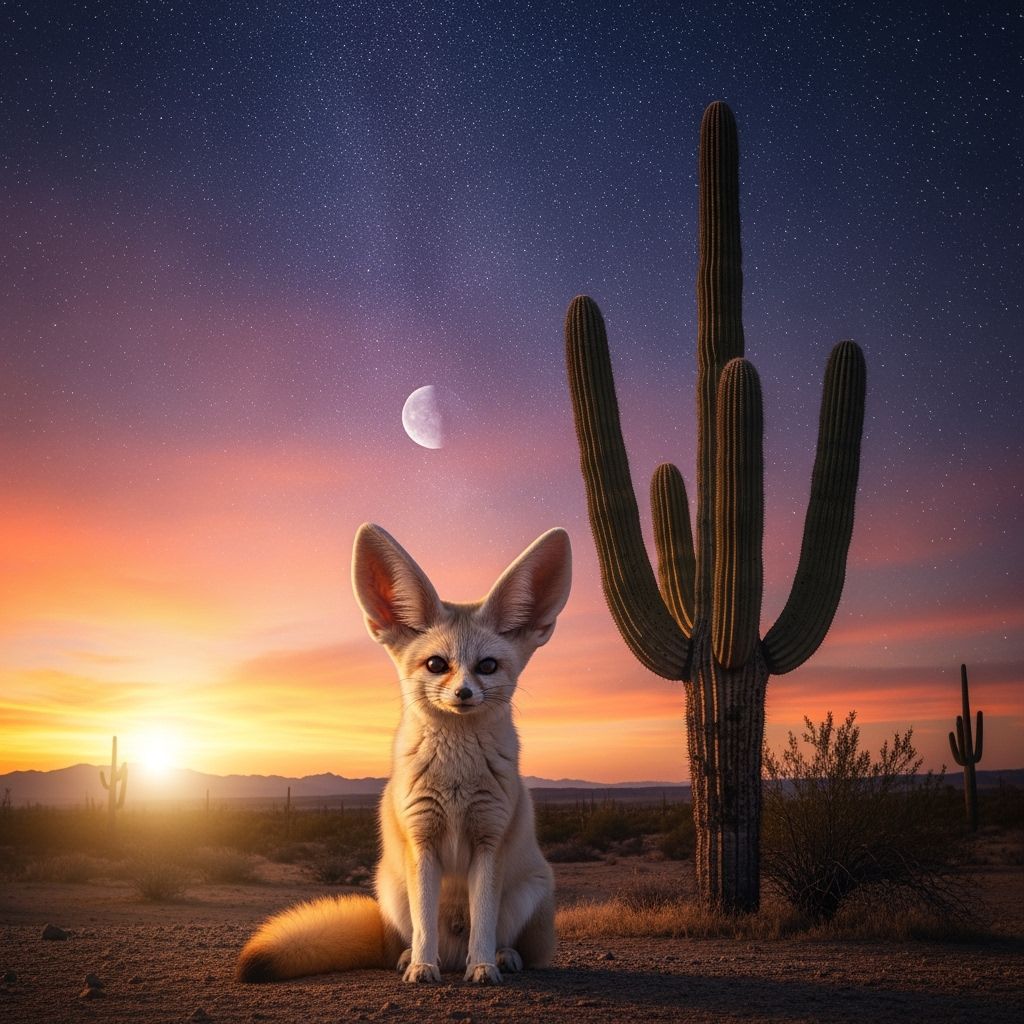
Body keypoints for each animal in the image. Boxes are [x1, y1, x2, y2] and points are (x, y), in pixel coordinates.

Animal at [236, 522, 572, 984]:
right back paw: (412, 957)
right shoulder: (421, 840)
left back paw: (500, 956)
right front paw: (422, 968)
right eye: (436, 665)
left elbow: (483, 921)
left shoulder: (490, 840)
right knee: (412, 934)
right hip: (390, 889)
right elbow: (424, 921)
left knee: (508, 941)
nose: (463, 694)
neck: (456, 778)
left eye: (487, 666)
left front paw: (483, 967)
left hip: (528, 891)